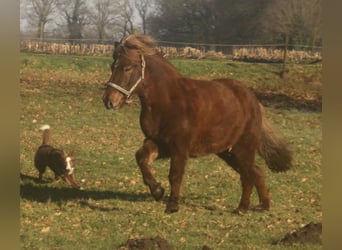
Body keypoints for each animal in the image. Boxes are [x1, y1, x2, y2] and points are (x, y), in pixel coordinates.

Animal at [101, 33, 292, 213]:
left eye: (127, 68)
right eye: (112, 66)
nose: (109, 101)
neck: (167, 101)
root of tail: (253, 100)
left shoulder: (179, 147)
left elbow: (175, 175)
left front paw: (172, 206)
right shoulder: (159, 143)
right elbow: (141, 158)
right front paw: (157, 191)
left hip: (243, 148)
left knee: (247, 174)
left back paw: (242, 208)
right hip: (227, 151)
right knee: (256, 171)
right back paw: (262, 206)